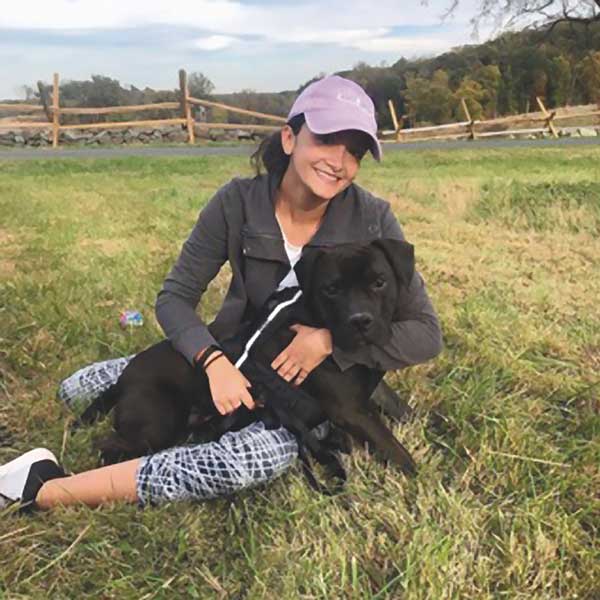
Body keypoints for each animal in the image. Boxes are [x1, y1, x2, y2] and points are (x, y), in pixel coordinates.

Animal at [79, 238, 418, 478]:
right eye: (331, 289)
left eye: (379, 282)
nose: (360, 320)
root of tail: (124, 378)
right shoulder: (350, 410)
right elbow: (397, 451)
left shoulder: (372, 391)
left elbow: (401, 409)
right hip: (156, 425)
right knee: (109, 445)